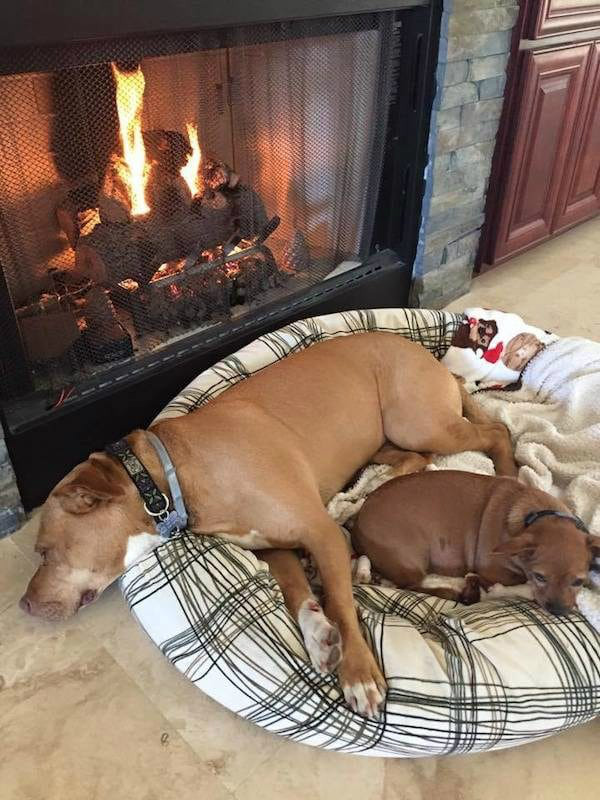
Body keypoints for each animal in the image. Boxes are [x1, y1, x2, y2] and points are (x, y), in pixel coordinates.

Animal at [352, 468, 600, 612]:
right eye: (540, 576)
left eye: (579, 581)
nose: (558, 612)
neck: (535, 514)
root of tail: (358, 520)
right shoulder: (492, 573)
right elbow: (516, 585)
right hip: (412, 561)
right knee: (411, 586)